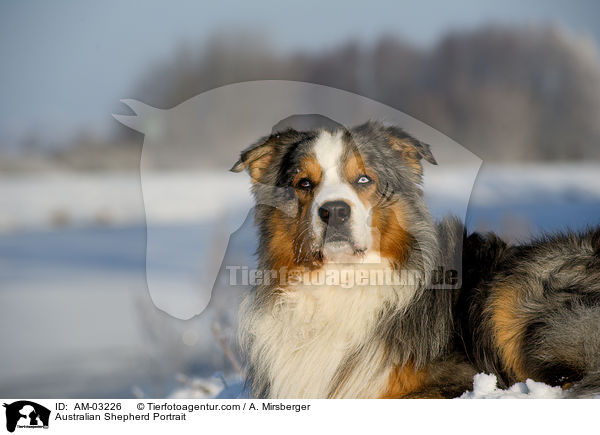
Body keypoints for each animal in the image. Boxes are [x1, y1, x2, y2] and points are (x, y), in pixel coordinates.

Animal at [230, 118, 600, 398]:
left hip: (510, 292)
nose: (333, 211)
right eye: (304, 183)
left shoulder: (455, 378)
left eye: (364, 178)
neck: (344, 279)